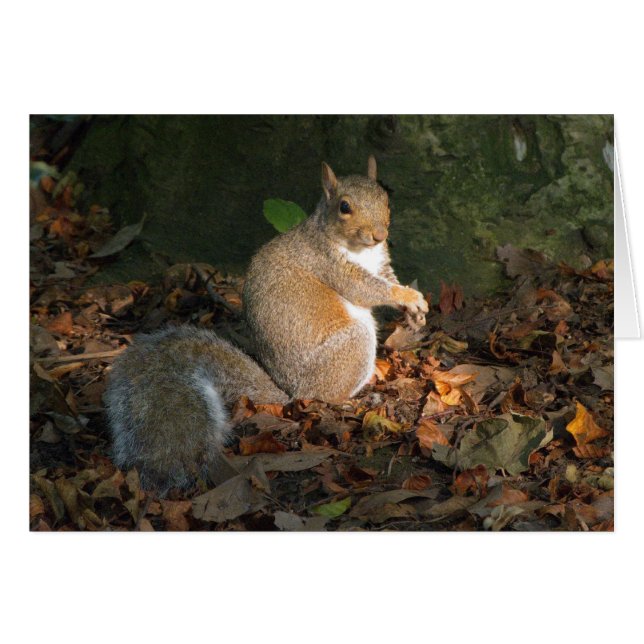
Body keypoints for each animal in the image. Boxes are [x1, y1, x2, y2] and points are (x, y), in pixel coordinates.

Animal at [243, 156, 428, 403]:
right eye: (344, 207)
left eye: (386, 200)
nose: (380, 236)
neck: (363, 250)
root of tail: (296, 392)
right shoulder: (329, 263)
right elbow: (366, 289)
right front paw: (408, 296)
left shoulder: (380, 263)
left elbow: (387, 279)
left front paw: (414, 314)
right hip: (351, 347)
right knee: (329, 395)